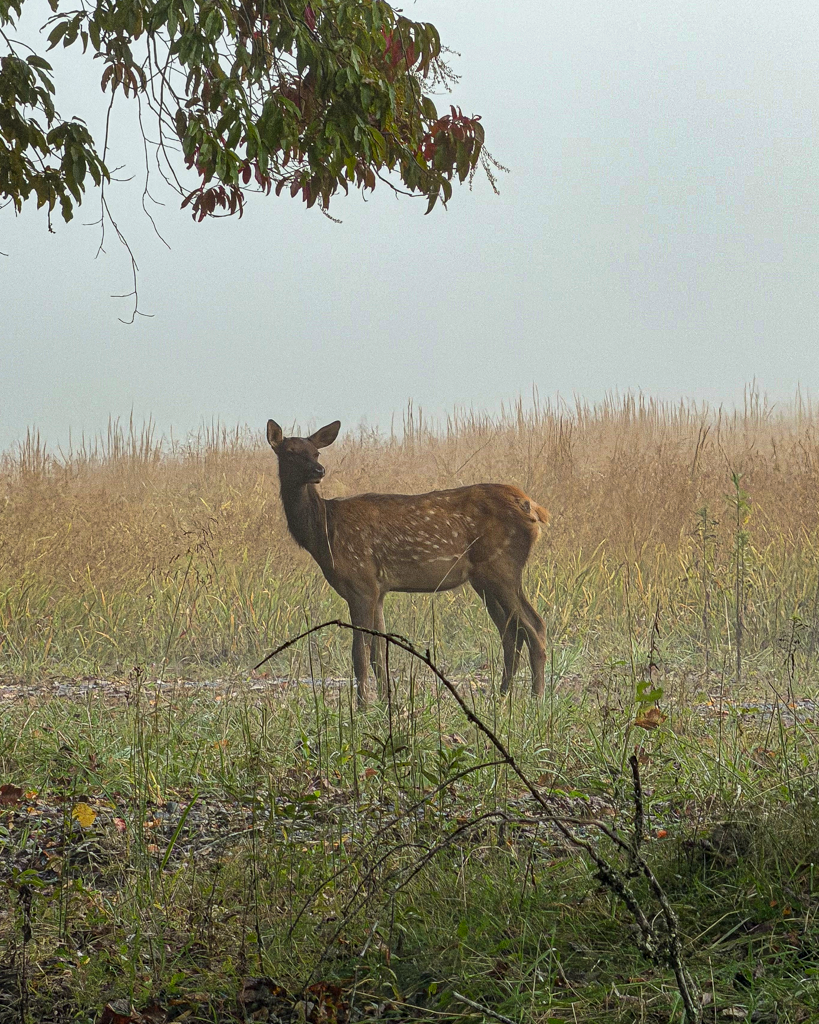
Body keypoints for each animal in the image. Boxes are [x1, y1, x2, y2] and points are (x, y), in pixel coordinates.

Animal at [267, 418, 549, 704]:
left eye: (316, 452)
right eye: (290, 452)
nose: (319, 470)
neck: (324, 534)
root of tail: (534, 508)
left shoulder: (361, 582)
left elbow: (360, 652)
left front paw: (362, 706)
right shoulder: (377, 590)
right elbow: (379, 651)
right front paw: (384, 702)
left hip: (502, 566)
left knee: (534, 627)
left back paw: (536, 697)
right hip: (484, 578)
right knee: (511, 632)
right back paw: (502, 695)